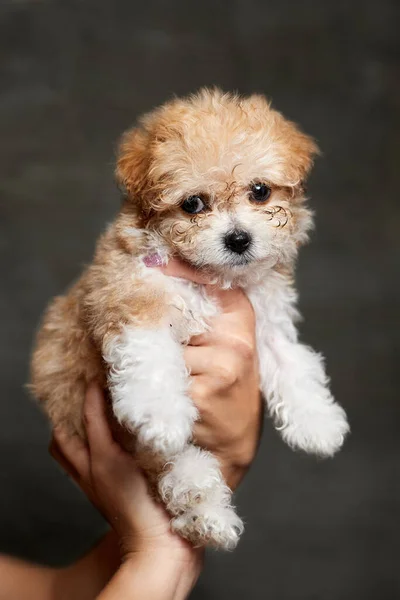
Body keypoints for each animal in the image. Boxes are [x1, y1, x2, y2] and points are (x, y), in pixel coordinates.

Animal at [30, 86, 350, 552]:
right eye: (193, 204)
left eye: (259, 191)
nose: (238, 239)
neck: (214, 279)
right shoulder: (132, 297)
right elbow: (151, 358)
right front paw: (160, 412)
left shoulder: (266, 319)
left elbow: (293, 361)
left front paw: (317, 421)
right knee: (175, 464)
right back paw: (204, 508)